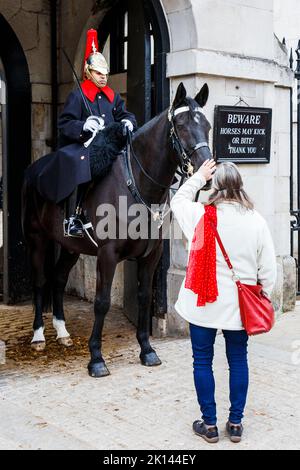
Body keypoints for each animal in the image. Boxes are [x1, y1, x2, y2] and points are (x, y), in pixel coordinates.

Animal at [21, 82, 211, 378]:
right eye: (180, 125)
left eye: (208, 125)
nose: (208, 172)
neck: (138, 184)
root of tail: (35, 170)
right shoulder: (107, 255)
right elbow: (102, 302)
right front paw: (96, 358)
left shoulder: (151, 256)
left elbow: (144, 297)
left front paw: (147, 349)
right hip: (36, 240)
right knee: (41, 282)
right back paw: (39, 336)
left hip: (69, 246)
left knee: (59, 279)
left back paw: (62, 332)